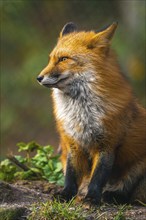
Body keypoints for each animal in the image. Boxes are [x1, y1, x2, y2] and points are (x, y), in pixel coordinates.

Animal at [37, 22, 146, 205]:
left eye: (63, 59)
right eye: (51, 58)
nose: (39, 77)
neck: (82, 114)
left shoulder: (107, 144)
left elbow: (98, 177)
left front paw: (92, 198)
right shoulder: (73, 144)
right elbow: (71, 176)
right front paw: (66, 195)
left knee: (127, 192)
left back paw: (113, 196)